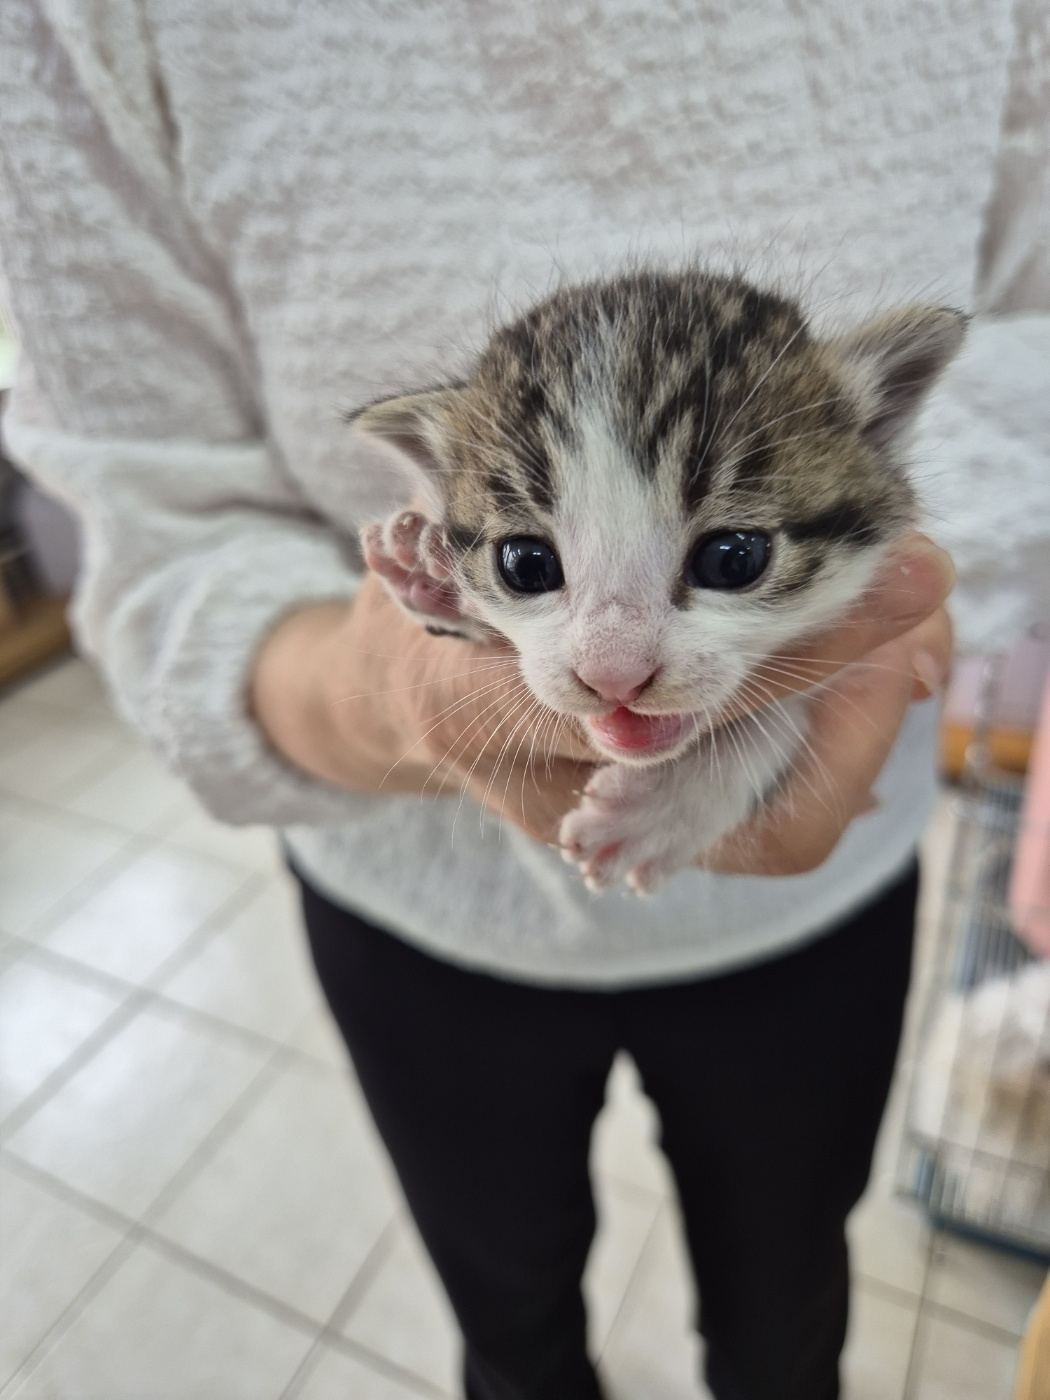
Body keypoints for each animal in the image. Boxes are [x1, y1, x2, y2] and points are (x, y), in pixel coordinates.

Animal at [351, 267, 963, 890]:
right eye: (526, 565)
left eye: (733, 560)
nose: (614, 676)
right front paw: (428, 574)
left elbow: (784, 711)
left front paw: (659, 810)